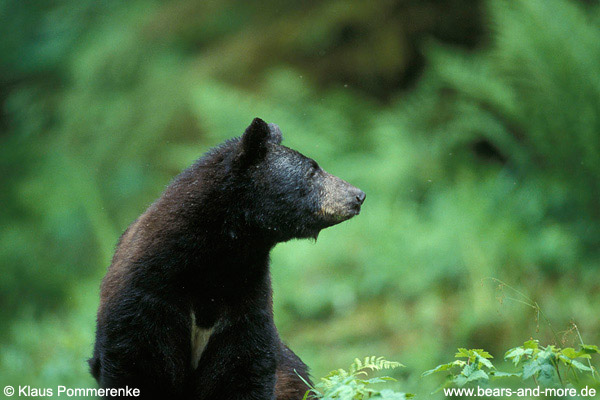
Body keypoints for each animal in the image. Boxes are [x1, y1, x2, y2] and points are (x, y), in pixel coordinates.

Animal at [89, 117, 366, 398]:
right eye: (311, 170)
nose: (358, 195)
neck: (215, 263)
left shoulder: (245, 302)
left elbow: (242, 368)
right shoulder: (145, 300)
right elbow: (139, 365)